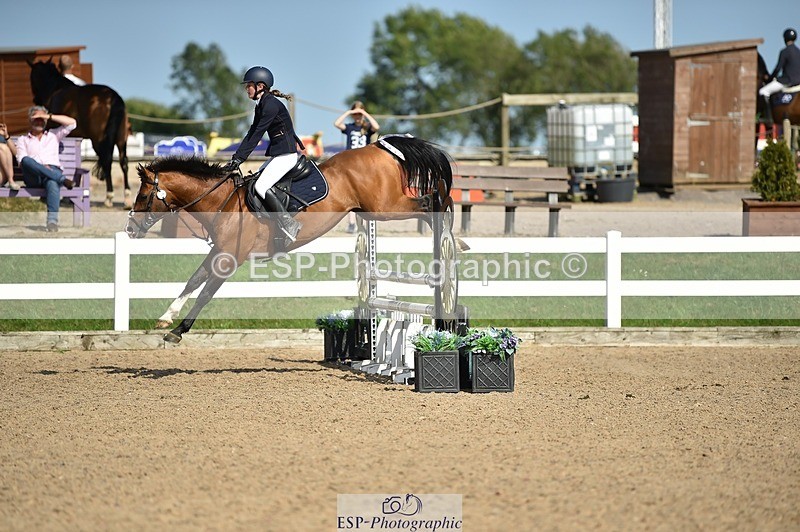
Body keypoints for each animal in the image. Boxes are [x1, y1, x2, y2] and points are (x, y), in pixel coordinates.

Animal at [28, 59, 130, 208]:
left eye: (32, 77)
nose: (35, 99)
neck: (55, 89)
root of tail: (114, 98)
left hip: (98, 140)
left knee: (107, 161)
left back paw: (109, 197)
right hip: (121, 139)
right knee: (123, 162)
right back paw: (127, 198)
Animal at [124, 135, 454, 344]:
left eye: (142, 196)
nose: (130, 229)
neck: (223, 201)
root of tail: (376, 146)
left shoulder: (230, 258)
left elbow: (205, 293)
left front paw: (178, 331)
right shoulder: (219, 251)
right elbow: (193, 281)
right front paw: (166, 318)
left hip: (384, 207)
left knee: (430, 202)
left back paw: (449, 231)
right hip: (372, 210)